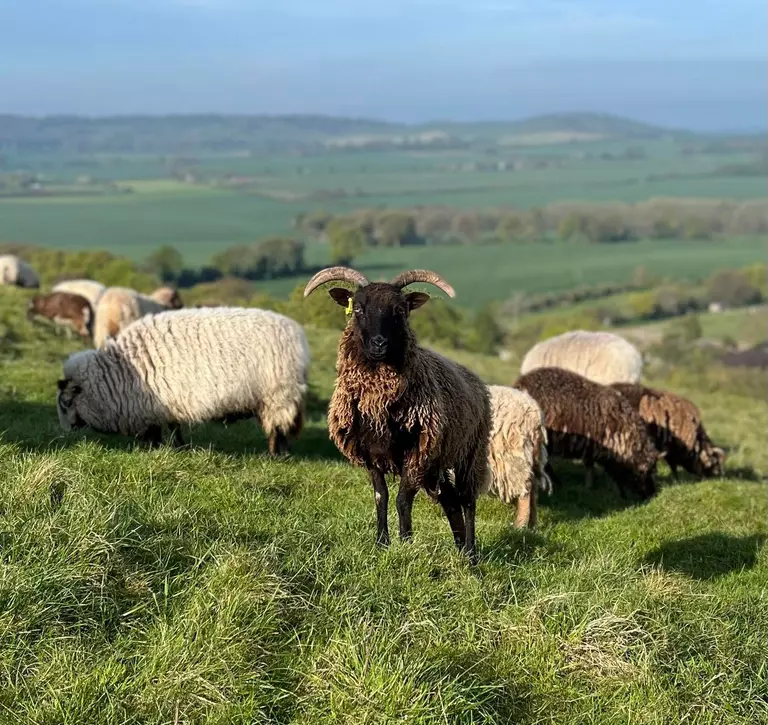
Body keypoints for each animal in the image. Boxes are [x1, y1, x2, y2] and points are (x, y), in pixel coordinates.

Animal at [57, 308, 310, 456]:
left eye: (67, 403)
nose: (66, 432)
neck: (118, 373)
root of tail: (297, 334)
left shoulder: (157, 404)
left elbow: (161, 431)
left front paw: (156, 450)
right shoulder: (165, 404)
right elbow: (172, 428)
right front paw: (175, 449)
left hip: (278, 393)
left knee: (277, 428)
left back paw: (276, 455)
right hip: (272, 398)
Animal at [304, 266, 488, 560]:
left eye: (400, 310)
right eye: (358, 308)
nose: (379, 344)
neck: (378, 403)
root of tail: (477, 381)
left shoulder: (417, 451)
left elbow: (403, 500)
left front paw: (406, 543)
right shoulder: (369, 452)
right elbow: (381, 496)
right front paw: (381, 543)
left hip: (469, 454)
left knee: (467, 501)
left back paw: (471, 554)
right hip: (439, 462)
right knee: (451, 502)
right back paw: (460, 550)